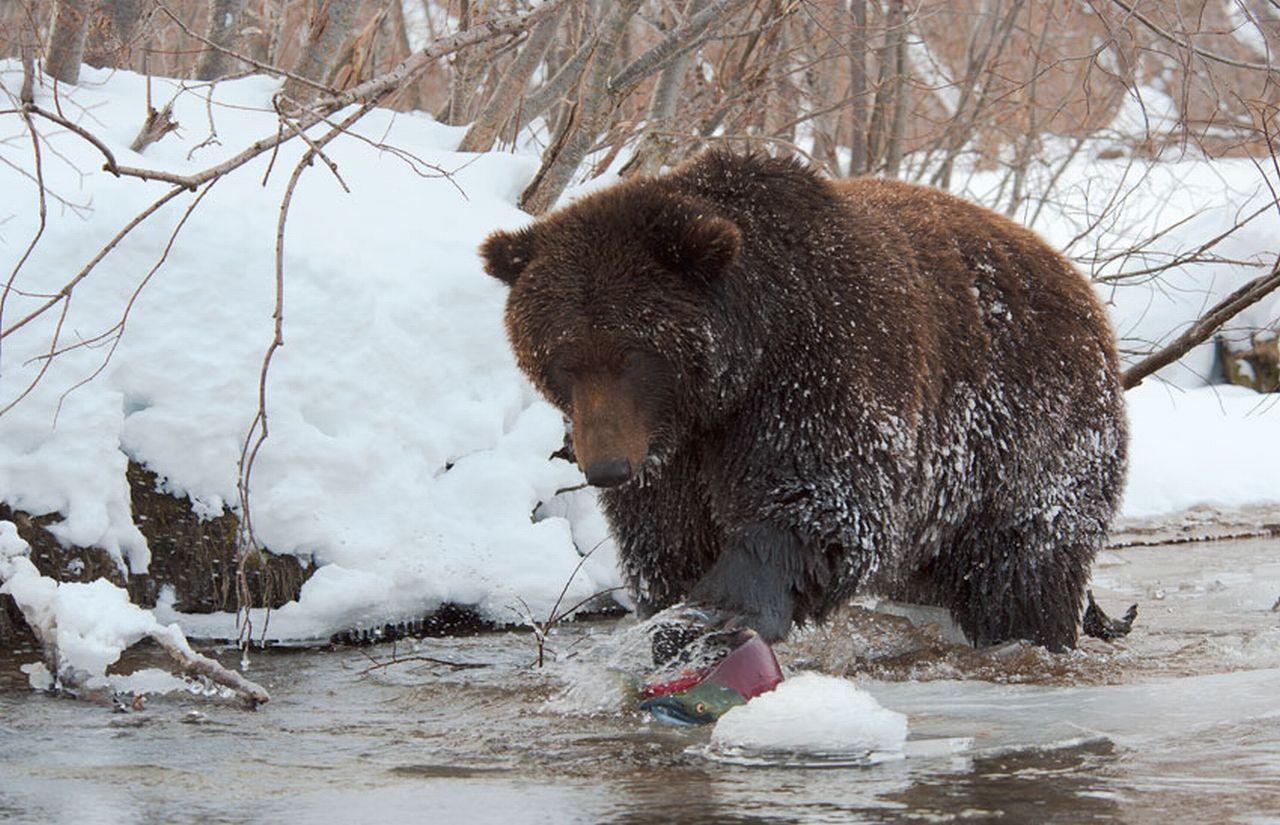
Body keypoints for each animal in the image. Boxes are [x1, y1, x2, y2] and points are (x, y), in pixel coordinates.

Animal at [481, 147, 1131, 649]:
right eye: (560, 358)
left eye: (634, 353)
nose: (607, 467)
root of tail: (1080, 284)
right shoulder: (674, 448)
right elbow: (669, 538)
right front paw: (675, 608)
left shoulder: (821, 361)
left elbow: (824, 498)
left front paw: (723, 608)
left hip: (1029, 435)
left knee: (1024, 566)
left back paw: (1031, 633)